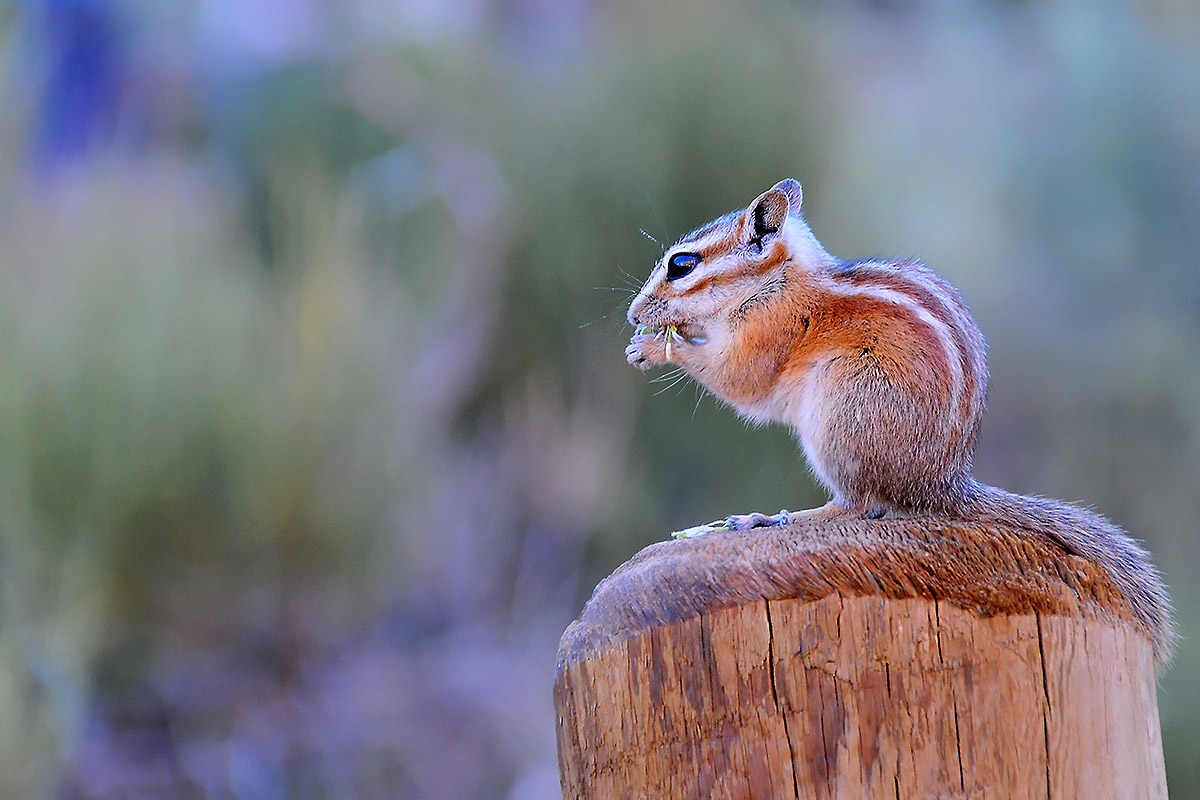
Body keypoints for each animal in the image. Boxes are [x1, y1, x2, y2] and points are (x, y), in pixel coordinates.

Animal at [626, 178, 1174, 664]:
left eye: (682, 265)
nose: (632, 314)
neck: (775, 282)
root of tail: (939, 484)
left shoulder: (768, 333)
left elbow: (738, 380)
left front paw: (655, 348)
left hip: (841, 411)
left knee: (858, 505)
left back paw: (771, 518)